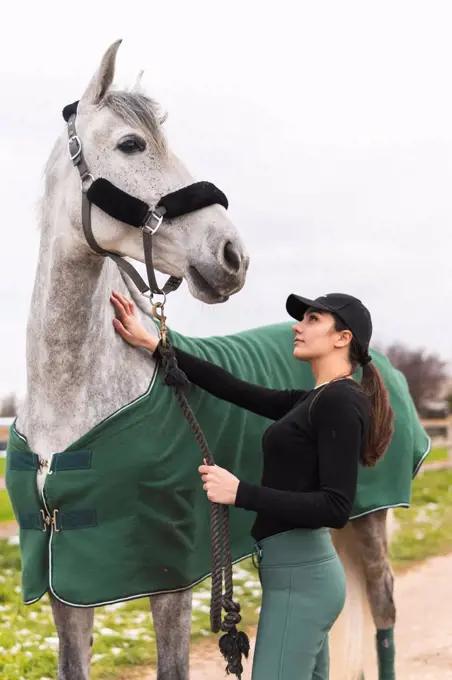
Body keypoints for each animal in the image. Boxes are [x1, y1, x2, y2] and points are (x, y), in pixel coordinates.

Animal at [13, 38, 416, 680]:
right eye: (132, 144)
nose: (232, 255)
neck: (70, 404)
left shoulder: (170, 584)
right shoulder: (65, 589)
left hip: (370, 522)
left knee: (382, 615)